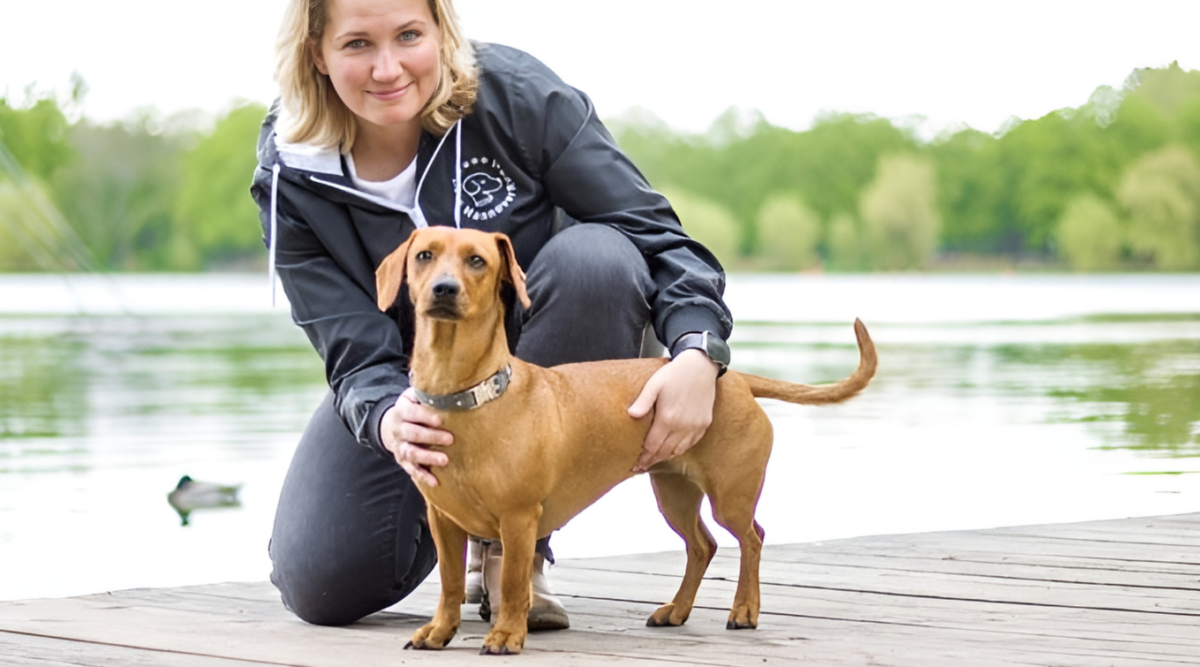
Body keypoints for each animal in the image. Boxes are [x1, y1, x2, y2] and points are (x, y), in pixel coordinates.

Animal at [375, 226, 876, 654]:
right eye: (424, 255)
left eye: (477, 260)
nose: (444, 289)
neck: (468, 397)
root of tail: (733, 379)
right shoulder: (444, 521)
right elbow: (450, 586)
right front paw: (439, 631)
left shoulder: (518, 520)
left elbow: (515, 585)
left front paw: (506, 635)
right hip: (674, 494)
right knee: (703, 546)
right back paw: (677, 610)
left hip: (729, 496)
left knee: (752, 539)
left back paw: (744, 609)